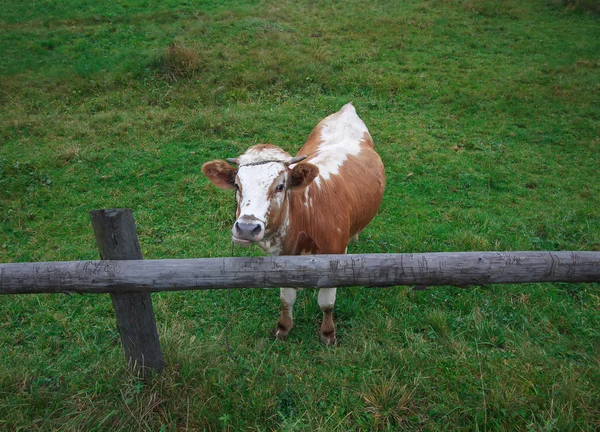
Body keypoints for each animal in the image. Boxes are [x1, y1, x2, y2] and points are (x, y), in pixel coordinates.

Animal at [202, 102, 386, 344]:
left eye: (280, 186)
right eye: (237, 186)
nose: (247, 228)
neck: (307, 220)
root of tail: (347, 109)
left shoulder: (335, 256)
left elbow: (326, 303)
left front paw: (328, 333)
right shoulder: (282, 258)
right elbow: (286, 298)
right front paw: (283, 327)